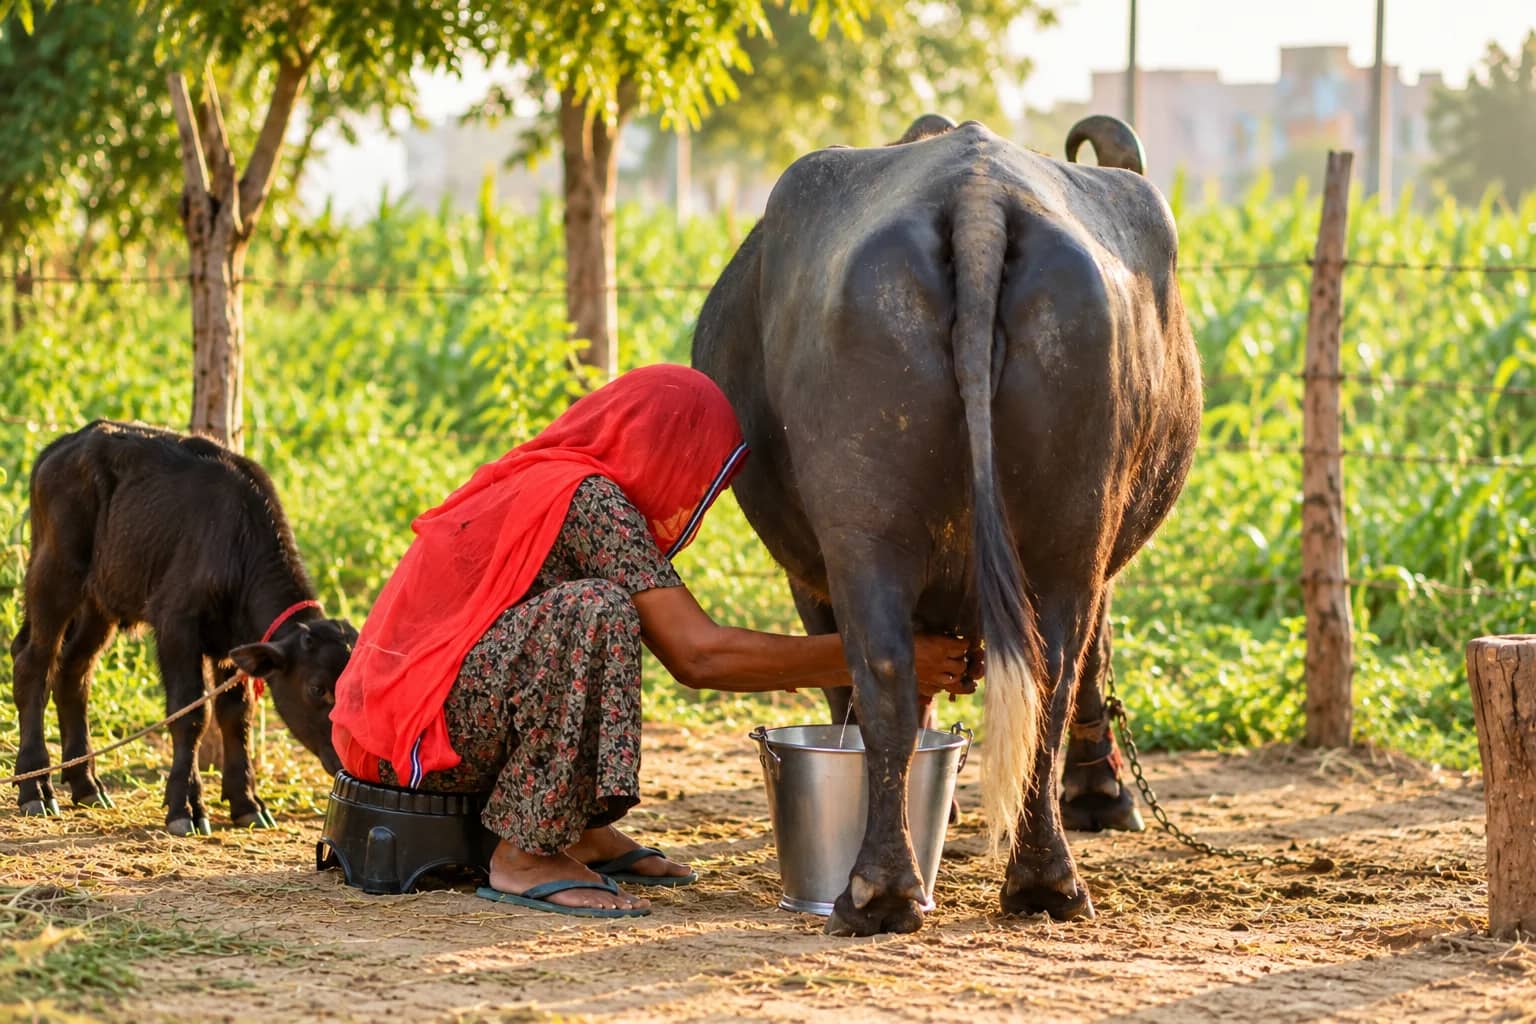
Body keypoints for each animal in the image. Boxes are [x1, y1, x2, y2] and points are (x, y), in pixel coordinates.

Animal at [8, 421, 356, 835]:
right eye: (317, 688)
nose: (348, 760)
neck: (238, 541)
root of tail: (60, 447)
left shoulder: (230, 647)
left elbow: (235, 715)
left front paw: (246, 803)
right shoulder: (176, 625)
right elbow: (190, 713)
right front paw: (185, 807)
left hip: (99, 602)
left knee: (74, 671)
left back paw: (87, 785)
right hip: (54, 576)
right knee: (33, 664)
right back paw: (35, 787)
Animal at [692, 114, 1201, 936]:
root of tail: (979, 201)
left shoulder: (812, 576)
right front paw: (1099, 794)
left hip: (874, 535)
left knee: (891, 675)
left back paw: (885, 890)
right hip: (1067, 533)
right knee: (1042, 673)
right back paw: (1031, 881)